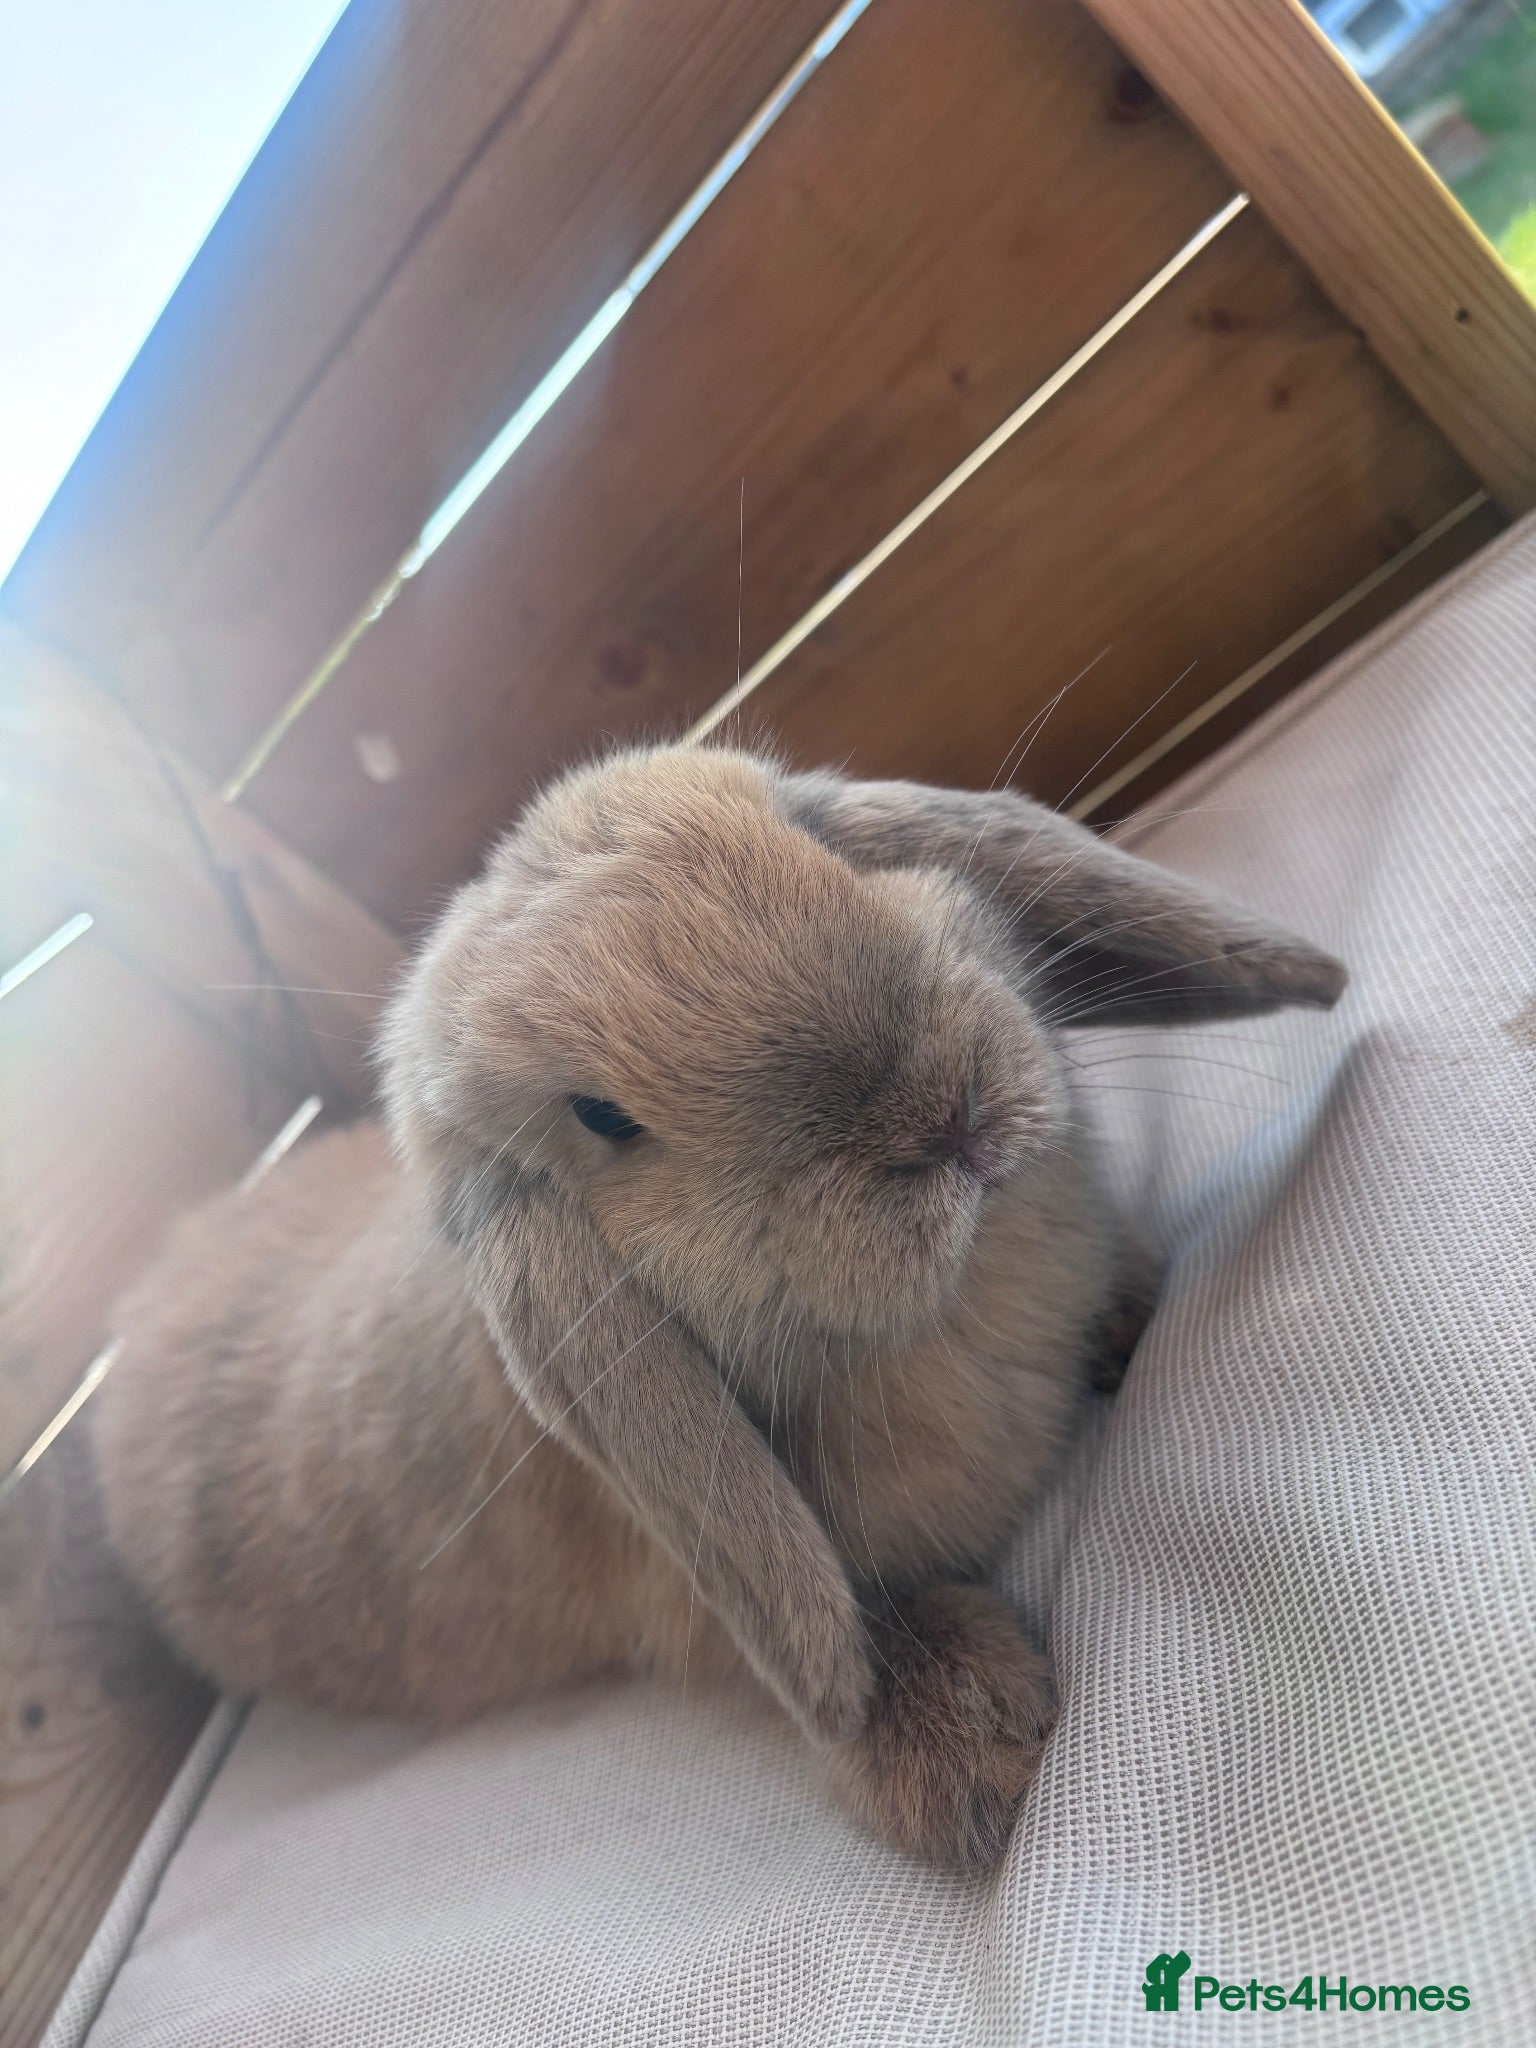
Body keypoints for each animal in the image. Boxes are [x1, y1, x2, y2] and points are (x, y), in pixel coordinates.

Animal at [95, 742, 1345, 1869]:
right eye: (603, 1116)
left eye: (815, 845)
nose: (947, 1116)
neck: (967, 1294)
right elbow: (849, 1640)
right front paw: (982, 1754)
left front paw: (1135, 1303)